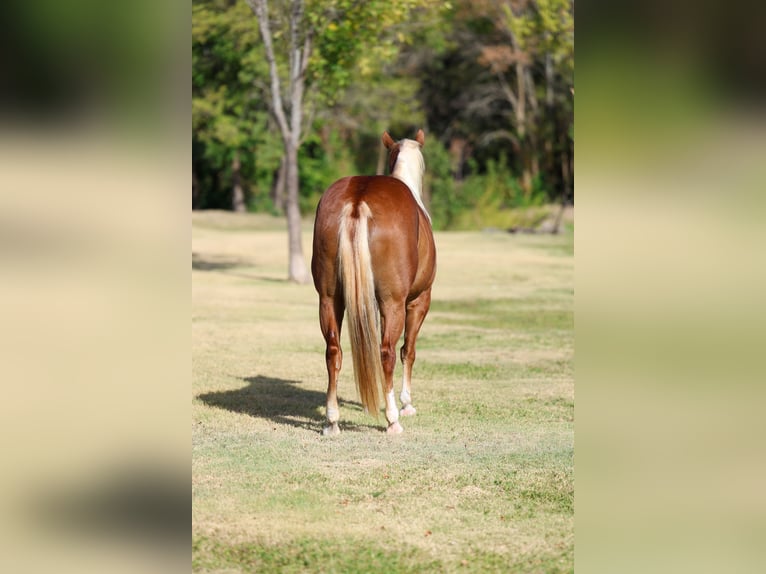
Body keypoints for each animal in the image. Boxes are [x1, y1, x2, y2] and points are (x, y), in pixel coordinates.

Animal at [311, 130, 436, 435]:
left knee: (333, 351)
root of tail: (358, 199)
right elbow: (408, 351)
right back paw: (393, 420)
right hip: (393, 303)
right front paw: (406, 403)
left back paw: (332, 420)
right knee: (387, 352)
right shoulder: (418, 301)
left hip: (329, 299)